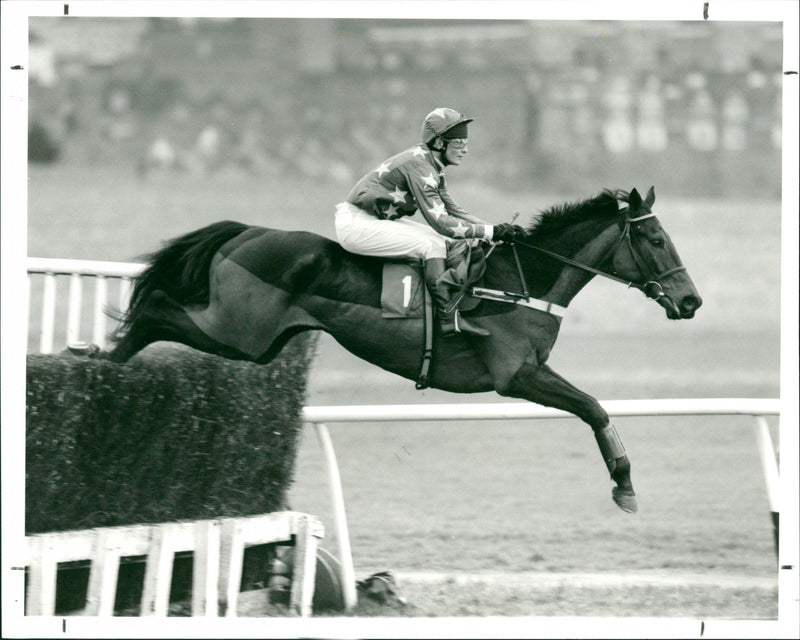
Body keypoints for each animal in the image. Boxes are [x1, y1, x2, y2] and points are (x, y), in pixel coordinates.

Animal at [86, 184, 700, 510]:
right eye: (654, 238)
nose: (690, 301)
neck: (519, 280)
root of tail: (247, 233)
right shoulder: (516, 376)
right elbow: (593, 407)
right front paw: (625, 483)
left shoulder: (526, 374)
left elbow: (593, 407)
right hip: (238, 331)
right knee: (157, 301)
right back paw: (100, 357)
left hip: (254, 341)